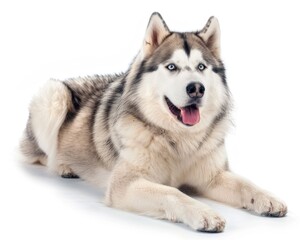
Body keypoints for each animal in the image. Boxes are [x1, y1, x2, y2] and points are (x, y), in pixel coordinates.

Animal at [19, 12, 288, 232]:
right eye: (172, 67)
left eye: (201, 67)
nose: (196, 88)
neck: (179, 139)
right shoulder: (125, 184)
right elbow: (173, 192)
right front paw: (204, 213)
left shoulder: (213, 176)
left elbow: (245, 184)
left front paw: (267, 198)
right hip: (53, 94)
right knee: (44, 155)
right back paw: (65, 166)